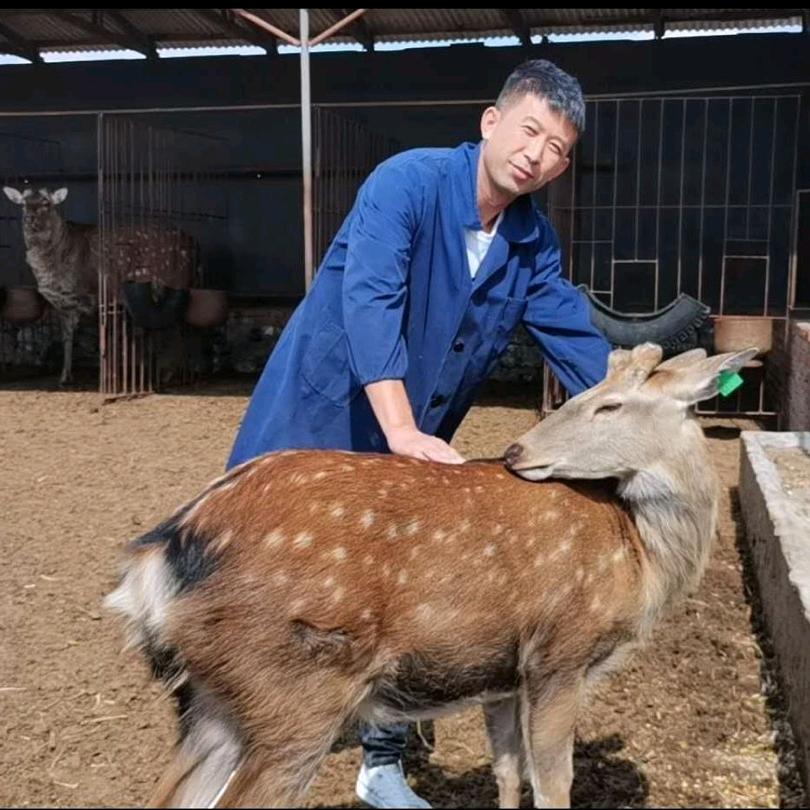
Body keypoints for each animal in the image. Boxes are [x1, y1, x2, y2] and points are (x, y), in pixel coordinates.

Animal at [2, 186, 198, 385]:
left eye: (46, 203)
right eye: (23, 204)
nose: (29, 218)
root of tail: (191, 241)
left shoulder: (101, 293)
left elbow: (107, 338)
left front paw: (110, 376)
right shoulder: (64, 304)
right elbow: (67, 338)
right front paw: (65, 376)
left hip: (172, 282)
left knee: (176, 325)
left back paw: (170, 374)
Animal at [104, 342, 756, 808]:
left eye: (610, 404)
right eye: (590, 394)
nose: (516, 452)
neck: (640, 555)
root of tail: (157, 558)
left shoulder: (503, 675)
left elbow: (508, 775)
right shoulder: (559, 654)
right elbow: (554, 785)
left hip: (211, 700)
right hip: (293, 693)